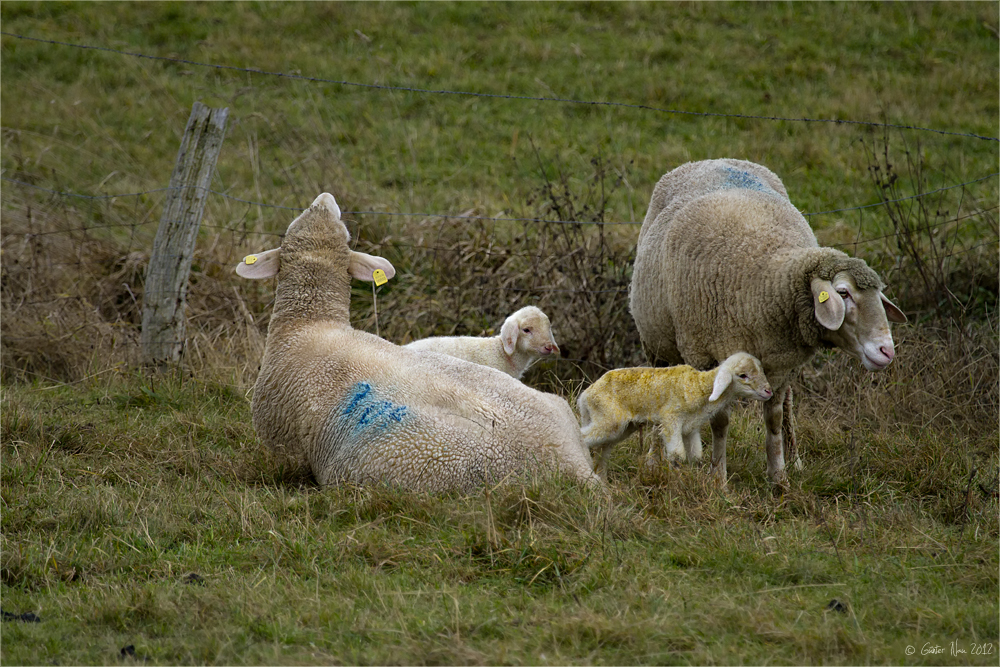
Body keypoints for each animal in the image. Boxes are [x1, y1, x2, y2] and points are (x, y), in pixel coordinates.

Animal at [580, 352, 772, 482]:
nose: (768, 391)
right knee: (583, 437)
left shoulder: (690, 428)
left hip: (622, 427)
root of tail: (585, 395)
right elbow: (677, 456)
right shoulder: (671, 420)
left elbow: (696, 456)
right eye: (743, 375)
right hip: (608, 420)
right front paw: (678, 482)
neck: (699, 387)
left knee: (603, 449)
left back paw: (602, 479)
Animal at [632, 159, 908, 488]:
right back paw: (653, 462)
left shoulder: (779, 365)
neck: (768, 280)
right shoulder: (707, 356)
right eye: (843, 293)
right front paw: (718, 479)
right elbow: (720, 421)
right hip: (657, 343)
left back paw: (795, 459)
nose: (886, 351)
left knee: (788, 405)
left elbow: (774, 419)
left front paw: (779, 481)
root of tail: (710, 159)